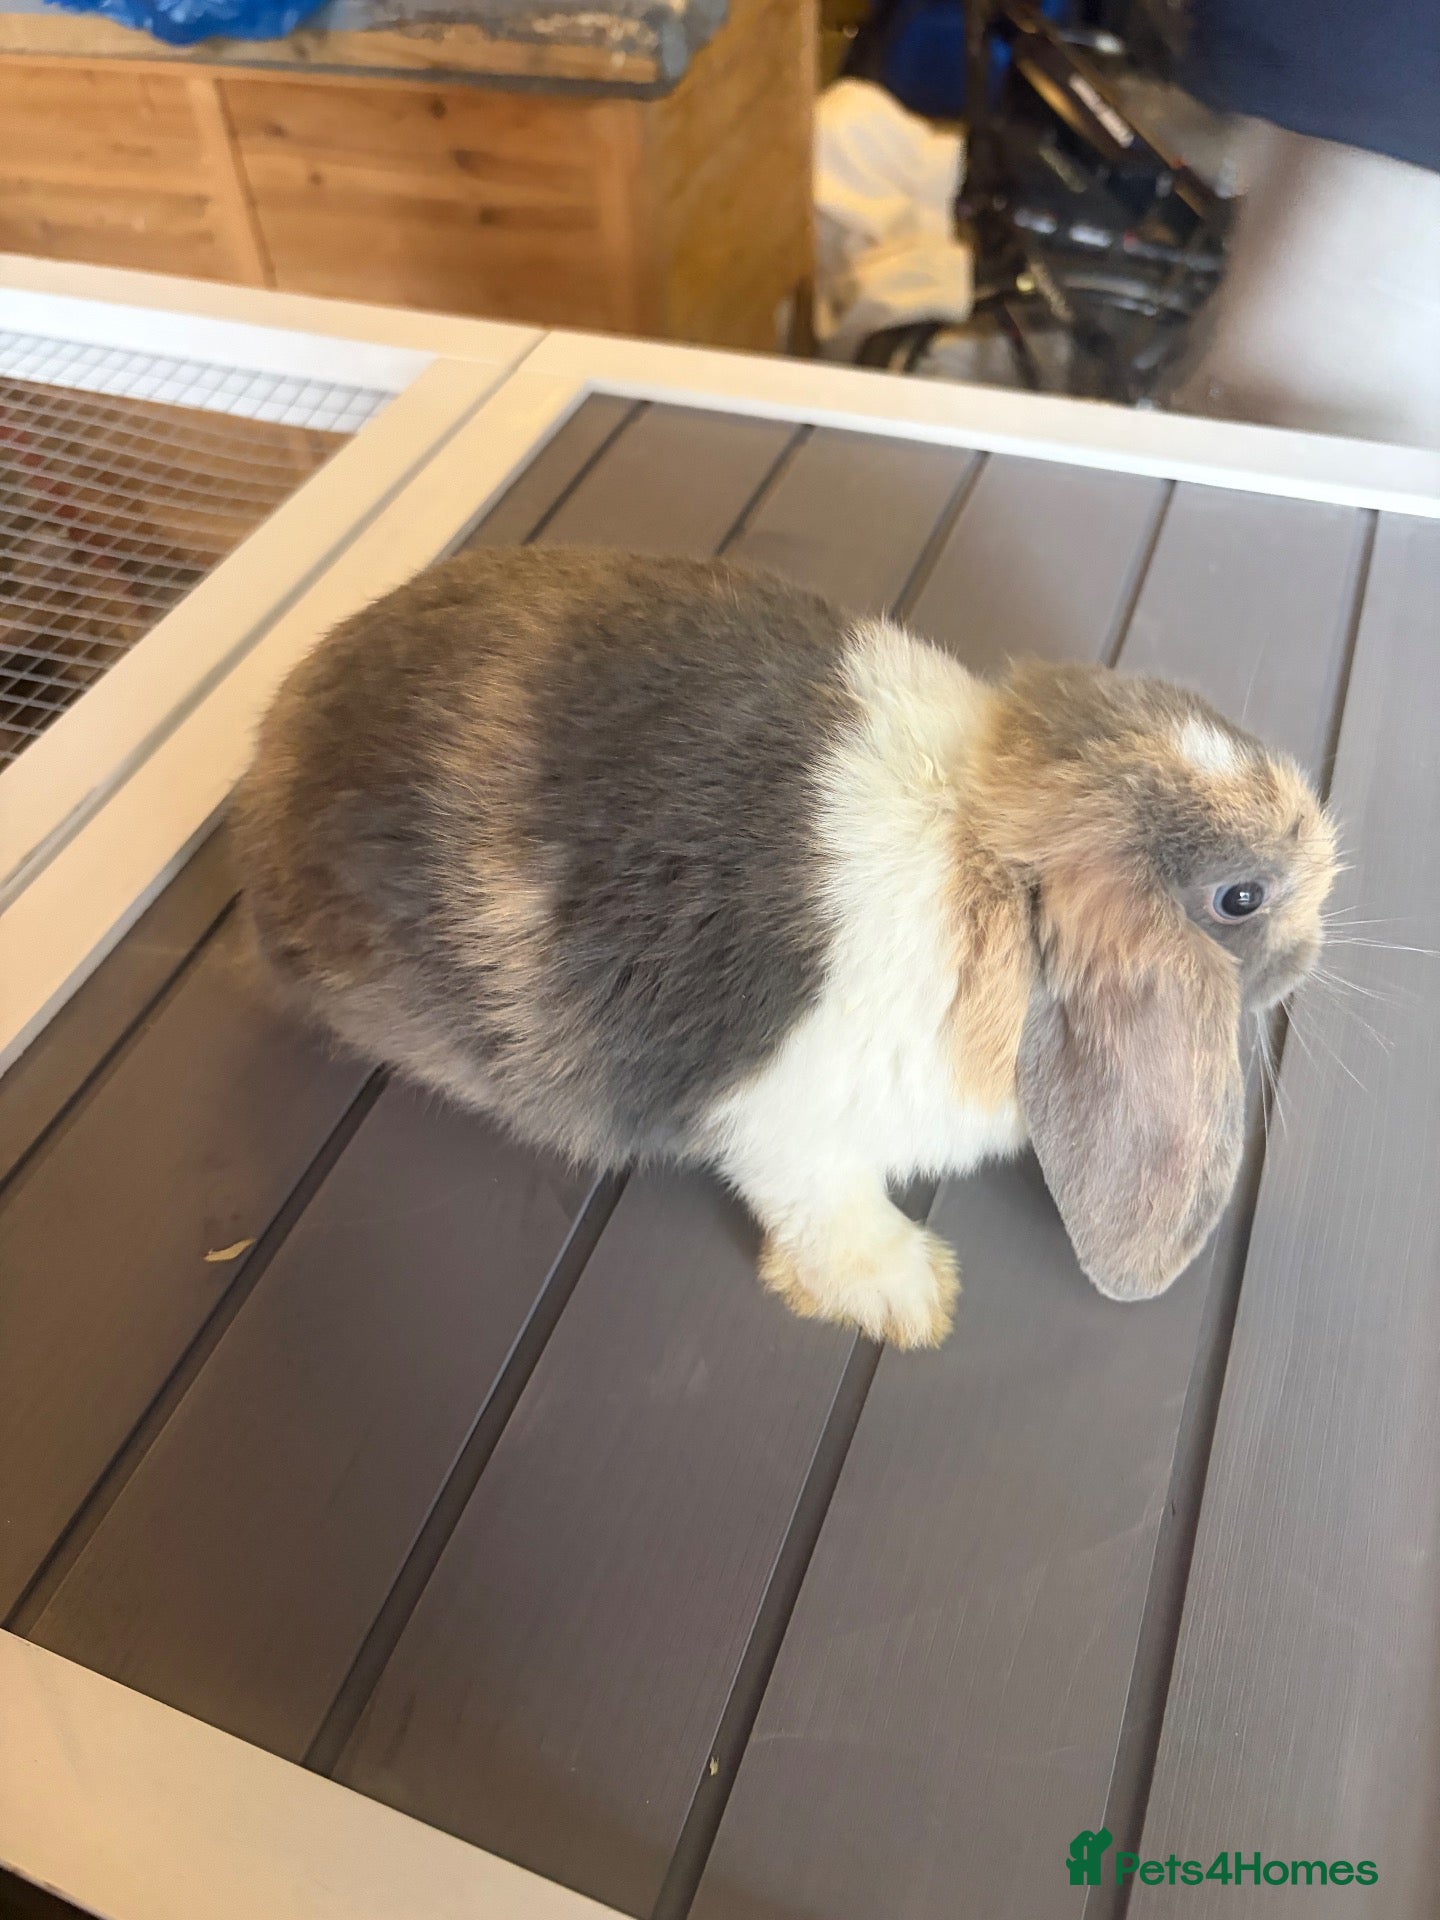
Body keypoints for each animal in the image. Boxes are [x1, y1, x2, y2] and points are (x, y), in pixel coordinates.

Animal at [231, 545, 1338, 1349]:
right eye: (1241, 897)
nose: (1312, 952)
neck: (991, 876)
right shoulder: (788, 1126)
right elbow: (822, 1207)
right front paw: (910, 1298)